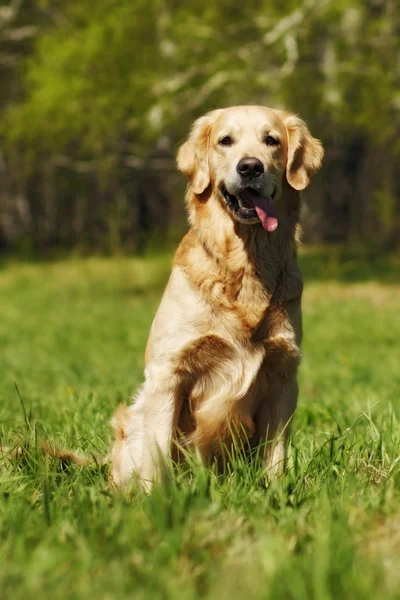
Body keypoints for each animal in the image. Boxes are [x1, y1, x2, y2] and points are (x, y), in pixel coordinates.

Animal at [111, 106, 324, 492]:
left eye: (271, 140)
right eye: (226, 140)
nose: (250, 167)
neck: (245, 264)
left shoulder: (284, 374)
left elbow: (275, 455)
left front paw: (274, 493)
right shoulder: (169, 372)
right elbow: (158, 452)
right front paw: (156, 498)